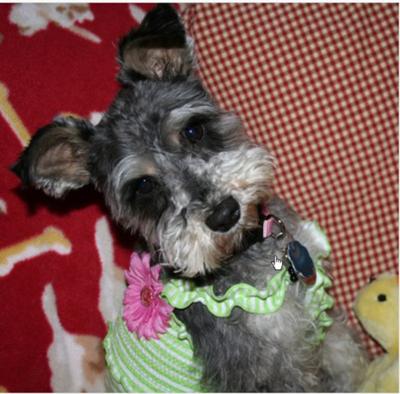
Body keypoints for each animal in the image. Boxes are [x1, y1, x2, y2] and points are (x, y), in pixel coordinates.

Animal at [11, 5, 368, 390]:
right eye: (144, 186)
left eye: (193, 129)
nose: (225, 214)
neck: (251, 252)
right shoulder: (269, 371)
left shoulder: (317, 316)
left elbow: (343, 352)